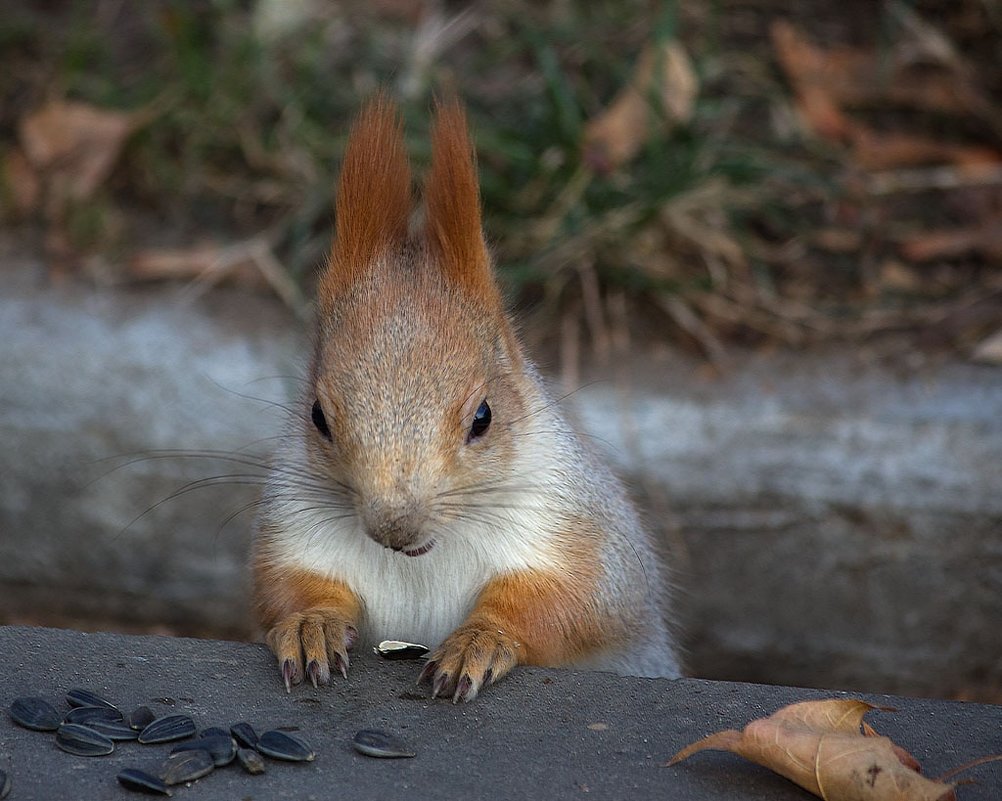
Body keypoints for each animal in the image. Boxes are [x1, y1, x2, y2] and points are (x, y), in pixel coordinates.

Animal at [254, 94, 685, 701]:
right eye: (318, 417)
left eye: (483, 417)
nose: (395, 528)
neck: (424, 556)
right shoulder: (294, 522)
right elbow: (287, 586)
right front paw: (310, 623)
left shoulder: (578, 529)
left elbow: (576, 601)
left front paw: (479, 641)